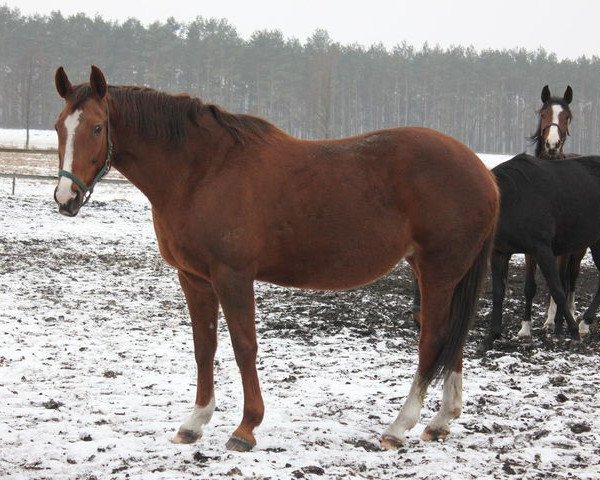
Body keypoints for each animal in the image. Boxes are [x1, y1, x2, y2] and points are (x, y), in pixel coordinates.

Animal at [52, 65, 496, 452]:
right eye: (59, 127)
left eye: (97, 127)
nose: (66, 199)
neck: (202, 172)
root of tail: (482, 172)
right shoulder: (194, 278)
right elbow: (204, 346)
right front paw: (194, 423)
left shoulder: (232, 276)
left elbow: (244, 345)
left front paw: (246, 428)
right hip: (438, 272)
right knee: (454, 339)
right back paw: (440, 422)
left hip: (439, 271)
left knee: (433, 340)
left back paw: (398, 427)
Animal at [480, 154, 600, 348]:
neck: (513, 199)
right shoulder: (499, 253)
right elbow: (498, 293)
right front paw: (492, 336)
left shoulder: (542, 250)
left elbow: (557, 290)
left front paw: (573, 331)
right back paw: (585, 322)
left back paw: (582, 324)